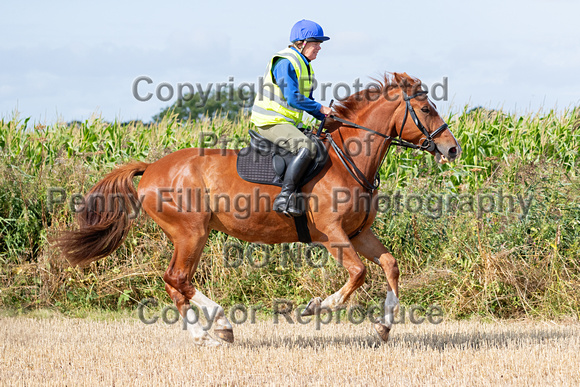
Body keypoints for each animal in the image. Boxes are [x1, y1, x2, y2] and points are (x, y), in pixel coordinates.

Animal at [56, 74, 460, 348]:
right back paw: (215, 329)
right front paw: (315, 307)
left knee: (176, 283)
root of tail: (151, 167)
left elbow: (389, 265)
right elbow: (358, 274)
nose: (453, 149)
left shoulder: (358, 233)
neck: (351, 159)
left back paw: (210, 330)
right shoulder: (332, 234)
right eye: (426, 109)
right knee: (177, 278)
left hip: (191, 235)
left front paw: (384, 326)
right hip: (191, 233)